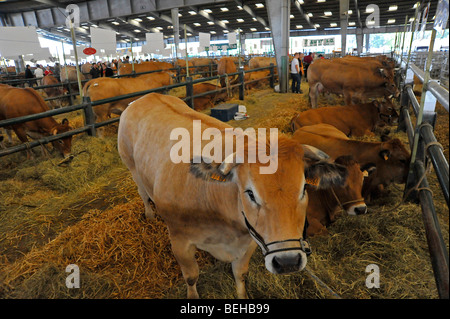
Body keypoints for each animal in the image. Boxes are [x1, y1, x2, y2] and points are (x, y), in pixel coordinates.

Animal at [117, 93, 348, 300]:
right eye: (250, 193)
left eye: (303, 189)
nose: (287, 261)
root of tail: (144, 97)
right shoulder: (180, 241)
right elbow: (191, 277)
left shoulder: (251, 239)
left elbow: (241, 274)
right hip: (132, 167)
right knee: (143, 193)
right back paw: (149, 214)